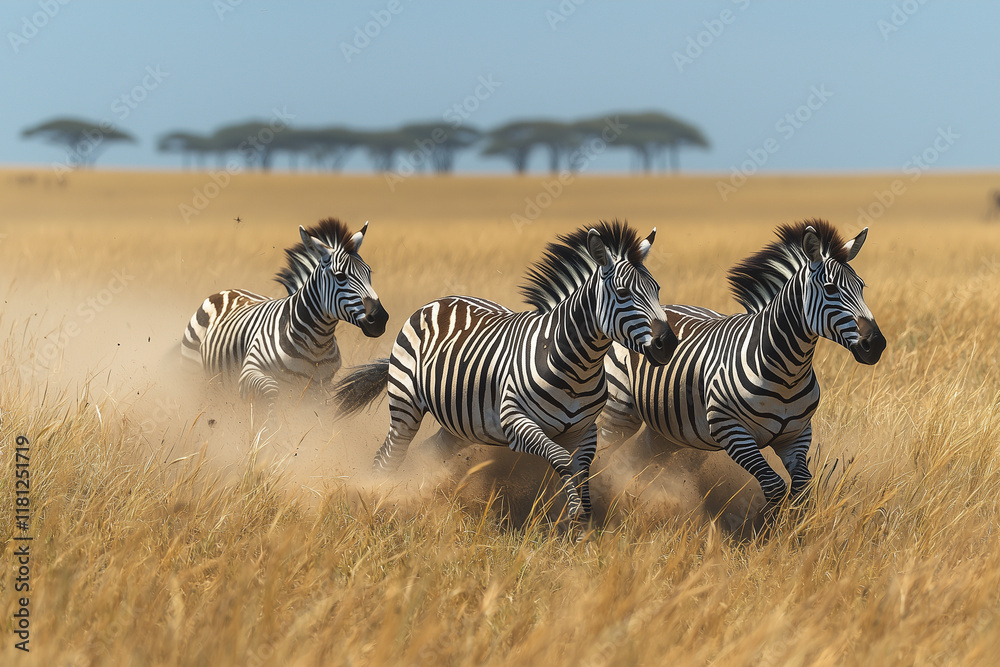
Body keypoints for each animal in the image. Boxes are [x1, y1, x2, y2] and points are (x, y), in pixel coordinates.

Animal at [181, 218, 389, 405]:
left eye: (369, 272)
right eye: (340, 276)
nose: (380, 318)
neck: (317, 344)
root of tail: (227, 291)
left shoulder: (320, 387)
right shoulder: (249, 372)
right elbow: (271, 391)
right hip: (194, 370)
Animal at [332, 220, 678, 521]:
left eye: (658, 289)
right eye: (623, 293)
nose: (668, 343)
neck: (579, 365)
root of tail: (438, 301)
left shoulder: (585, 430)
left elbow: (580, 472)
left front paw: (580, 528)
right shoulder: (516, 421)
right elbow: (562, 460)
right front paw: (572, 518)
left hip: (462, 423)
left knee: (429, 453)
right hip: (406, 404)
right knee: (389, 455)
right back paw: (378, 499)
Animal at [600, 219, 886, 518]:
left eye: (862, 286)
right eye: (831, 289)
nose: (876, 344)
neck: (788, 370)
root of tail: (663, 306)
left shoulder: (796, 435)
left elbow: (802, 490)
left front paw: (796, 528)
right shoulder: (731, 430)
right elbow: (774, 486)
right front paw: (769, 528)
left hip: (670, 428)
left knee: (638, 457)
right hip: (619, 411)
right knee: (603, 456)